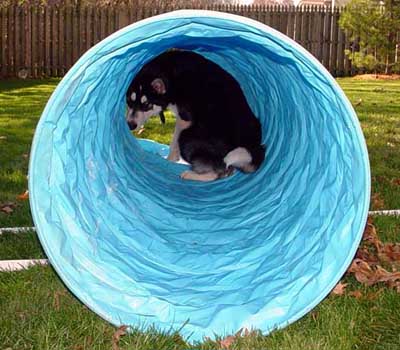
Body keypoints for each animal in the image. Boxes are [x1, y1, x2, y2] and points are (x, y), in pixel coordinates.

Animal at [126, 50, 266, 182]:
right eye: (129, 101)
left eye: (146, 105)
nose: (130, 125)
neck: (169, 74)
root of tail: (253, 146)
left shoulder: (184, 119)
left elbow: (174, 142)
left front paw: (169, 159)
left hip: (187, 137)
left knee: (217, 170)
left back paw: (190, 174)